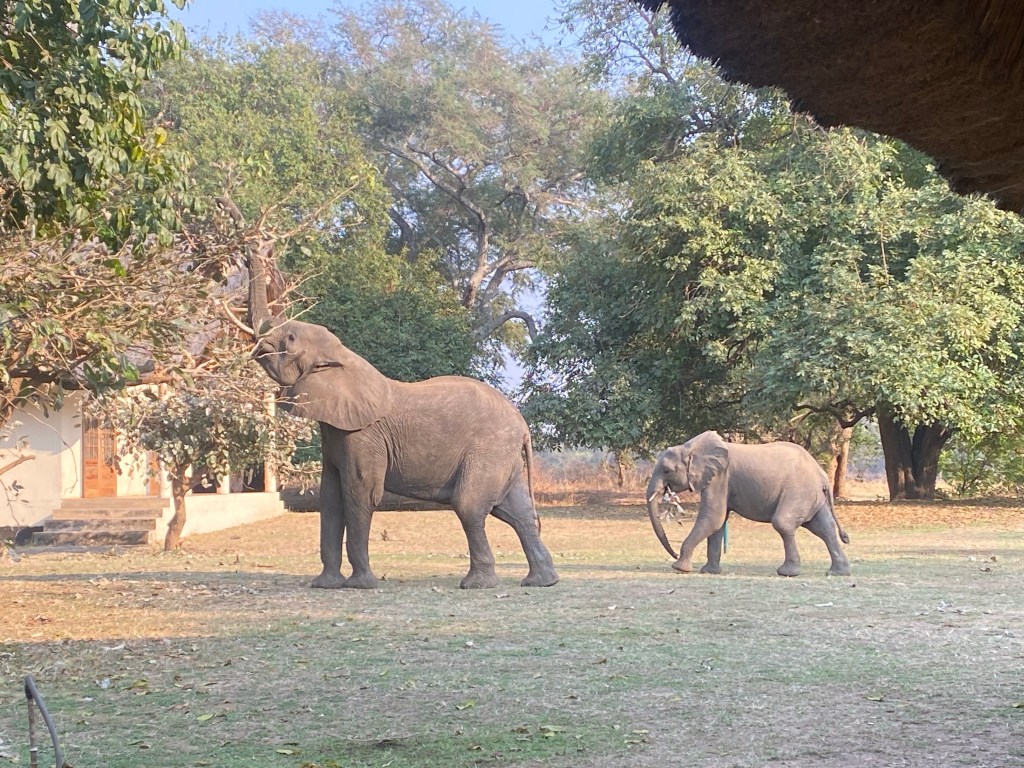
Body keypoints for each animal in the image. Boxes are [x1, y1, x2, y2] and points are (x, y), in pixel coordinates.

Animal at [245, 253, 558, 590]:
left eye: (289, 339)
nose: (252, 256)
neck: (344, 358)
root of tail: (522, 425)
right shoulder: (336, 433)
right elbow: (329, 497)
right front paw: (325, 585)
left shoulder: (363, 434)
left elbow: (361, 493)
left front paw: (362, 586)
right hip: (502, 456)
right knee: (517, 512)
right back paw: (541, 582)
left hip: (488, 451)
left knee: (470, 505)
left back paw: (476, 584)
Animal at [646, 431, 851, 577]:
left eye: (666, 470)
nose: (673, 555)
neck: (691, 447)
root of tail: (821, 474)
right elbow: (718, 523)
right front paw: (709, 572)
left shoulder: (720, 477)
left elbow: (713, 517)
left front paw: (680, 568)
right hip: (812, 495)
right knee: (823, 527)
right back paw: (838, 573)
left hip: (799, 490)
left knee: (784, 523)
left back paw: (787, 573)